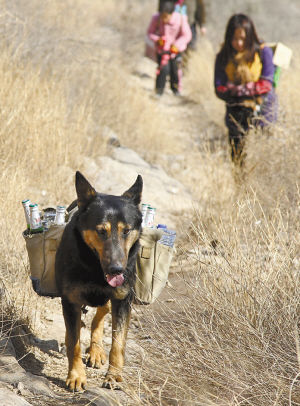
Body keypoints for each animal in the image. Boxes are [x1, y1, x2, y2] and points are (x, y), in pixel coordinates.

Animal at [55, 170, 144, 390]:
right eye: (101, 231)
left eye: (126, 230)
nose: (117, 270)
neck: (95, 267)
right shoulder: (70, 300)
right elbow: (74, 343)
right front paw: (76, 375)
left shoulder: (122, 299)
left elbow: (118, 343)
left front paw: (113, 376)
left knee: (101, 314)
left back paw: (96, 350)